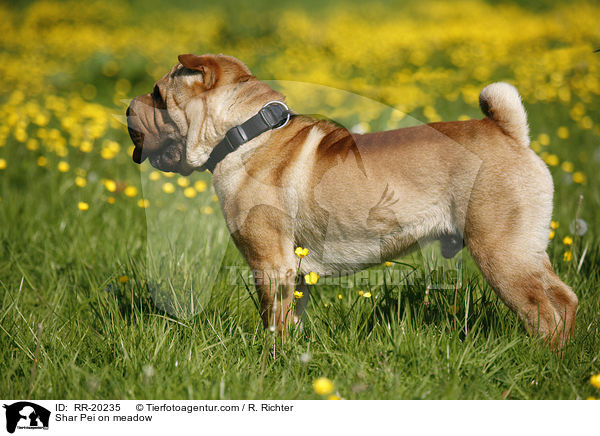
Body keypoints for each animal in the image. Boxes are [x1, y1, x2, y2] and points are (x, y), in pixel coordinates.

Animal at [125, 53, 576, 348]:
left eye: (158, 95)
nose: (127, 106)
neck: (244, 133)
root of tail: (509, 132)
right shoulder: (293, 270)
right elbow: (293, 319)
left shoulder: (270, 262)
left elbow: (273, 320)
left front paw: (271, 358)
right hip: (527, 249)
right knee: (564, 299)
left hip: (501, 252)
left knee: (542, 312)